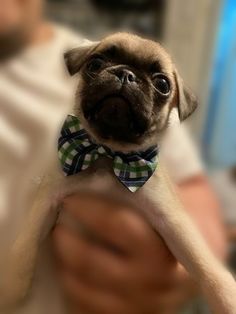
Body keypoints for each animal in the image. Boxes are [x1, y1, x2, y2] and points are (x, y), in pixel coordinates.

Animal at [0, 33, 235, 312]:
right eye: (95, 64)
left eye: (162, 84)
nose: (126, 74)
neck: (109, 154)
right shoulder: (48, 201)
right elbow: (25, 244)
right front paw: (11, 287)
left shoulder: (171, 219)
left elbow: (202, 262)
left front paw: (227, 297)